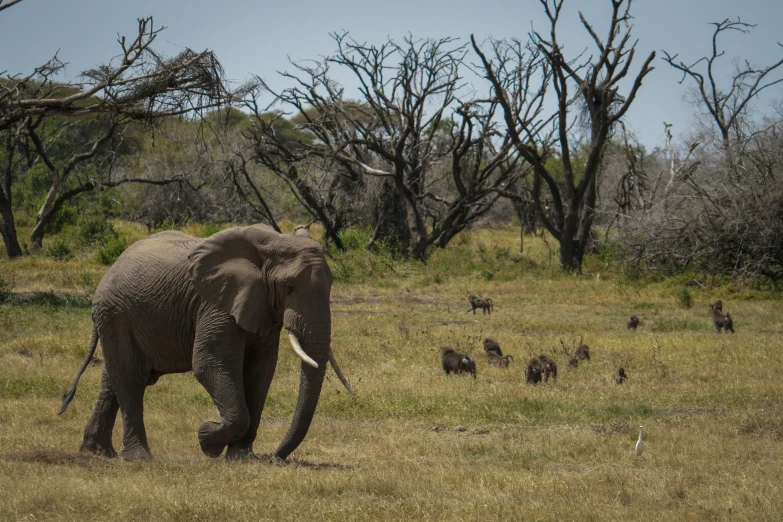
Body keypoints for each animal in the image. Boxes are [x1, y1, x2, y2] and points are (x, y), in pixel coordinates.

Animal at [59, 223, 354, 460]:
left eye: (331, 285)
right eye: (289, 287)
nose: (274, 457)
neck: (271, 244)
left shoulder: (261, 307)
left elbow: (260, 371)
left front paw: (241, 457)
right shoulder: (216, 303)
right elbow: (208, 362)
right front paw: (206, 439)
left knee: (113, 378)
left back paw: (98, 452)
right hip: (115, 314)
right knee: (130, 378)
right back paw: (138, 457)